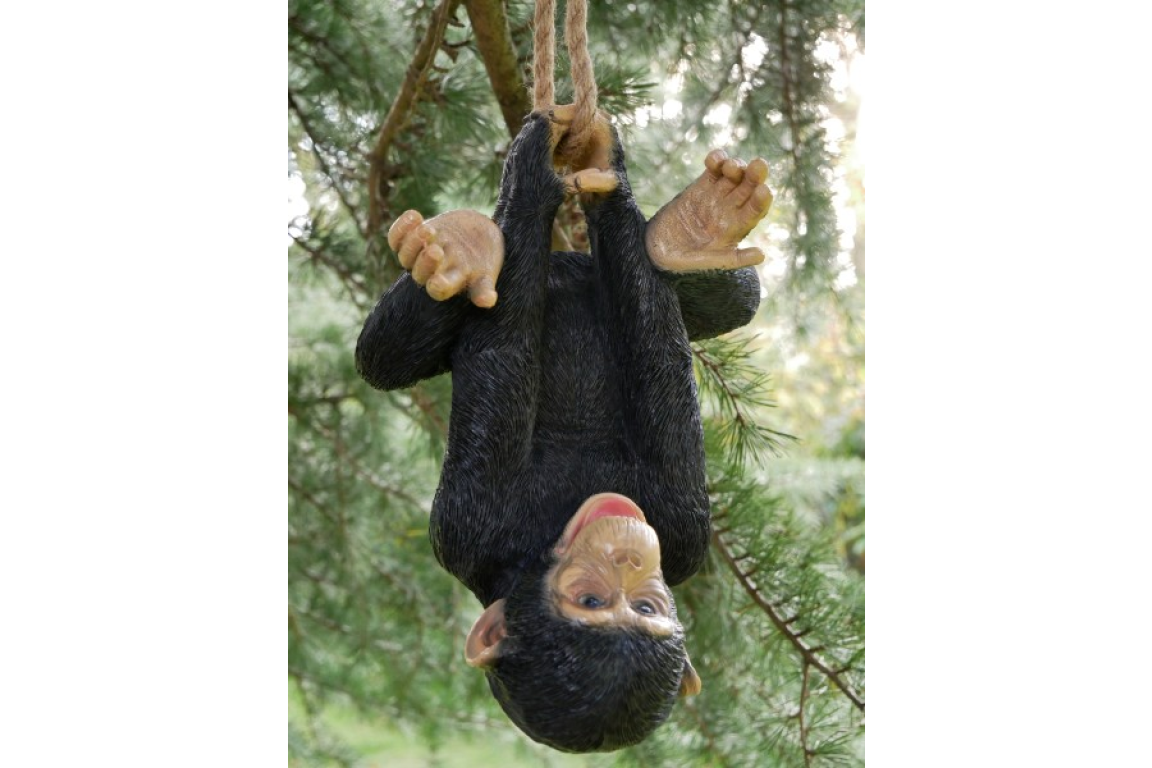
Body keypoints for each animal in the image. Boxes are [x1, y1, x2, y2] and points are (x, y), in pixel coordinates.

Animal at [356, 110, 773, 752]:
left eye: (645, 609)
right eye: (593, 601)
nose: (628, 556)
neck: (560, 524)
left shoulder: (677, 530)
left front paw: (577, 174)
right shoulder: (470, 520)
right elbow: (504, 348)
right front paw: (544, 169)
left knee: (719, 300)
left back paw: (688, 238)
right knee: (384, 355)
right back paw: (455, 254)